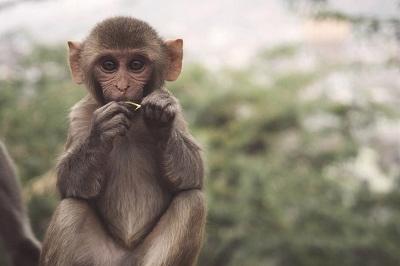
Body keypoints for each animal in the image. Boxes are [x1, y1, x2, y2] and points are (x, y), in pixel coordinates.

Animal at [39, 17, 206, 266]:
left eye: (136, 65)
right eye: (109, 65)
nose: (122, 86)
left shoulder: (178, 113)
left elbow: (193, 175)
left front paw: (160, 120)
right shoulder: (80, 116)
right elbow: (68, 183)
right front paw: (101, 132)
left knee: (192, 201)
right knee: (71, 208)